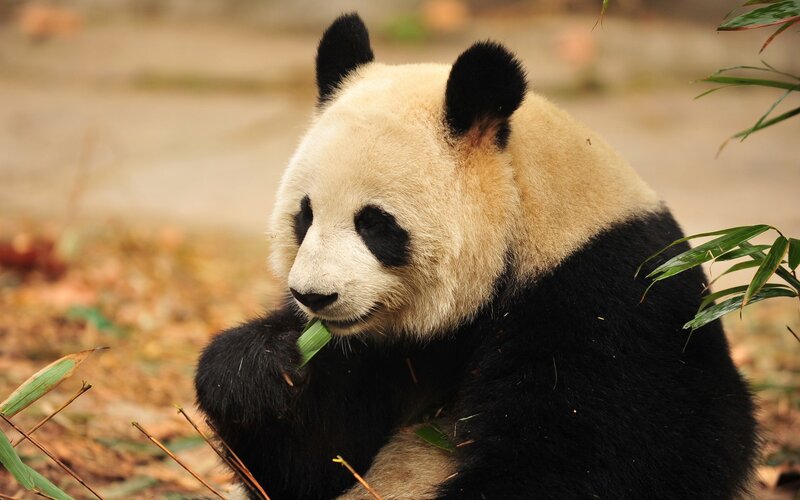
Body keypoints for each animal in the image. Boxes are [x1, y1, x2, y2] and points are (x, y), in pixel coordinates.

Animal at [195, 13, 759, 500]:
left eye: (375, 223)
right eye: (305, 215)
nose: (313, 296)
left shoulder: (610, 303)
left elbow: (593, 455)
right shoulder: (390, 352)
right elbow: (316, 462)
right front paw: (261, 367)